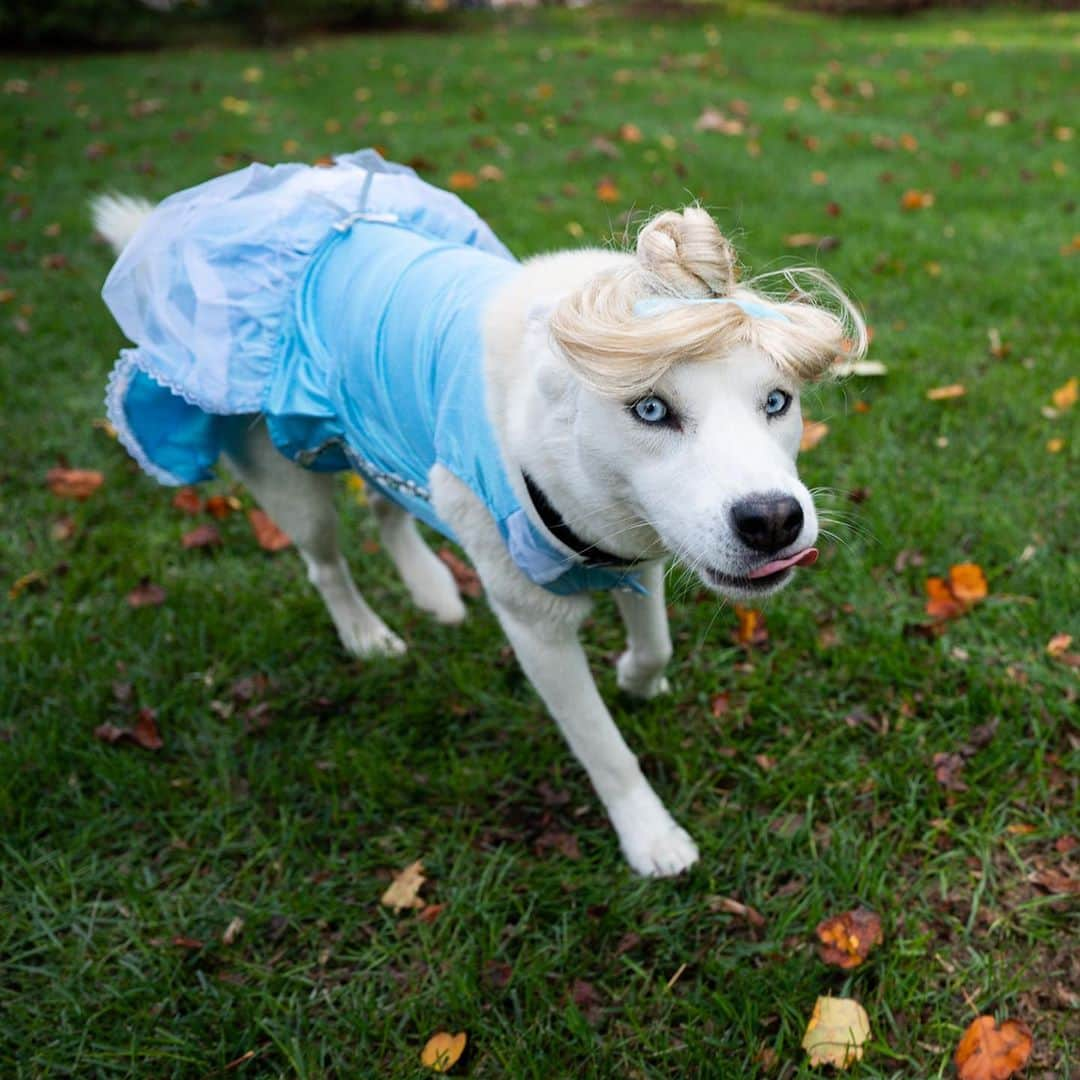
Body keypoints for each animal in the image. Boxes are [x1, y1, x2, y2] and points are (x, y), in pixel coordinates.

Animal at [95, 152, 868, 876]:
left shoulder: (637, 549)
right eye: (650, 409)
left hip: (387, 442)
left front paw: (636, 679)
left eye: (777, 402)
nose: (774, 520)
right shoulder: (538, 630)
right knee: (325, 564)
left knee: (388, 510)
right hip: (292, 481)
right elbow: (602, 745)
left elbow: (656, 643)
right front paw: (650, 835)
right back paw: (367, 634)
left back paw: (432, 591)